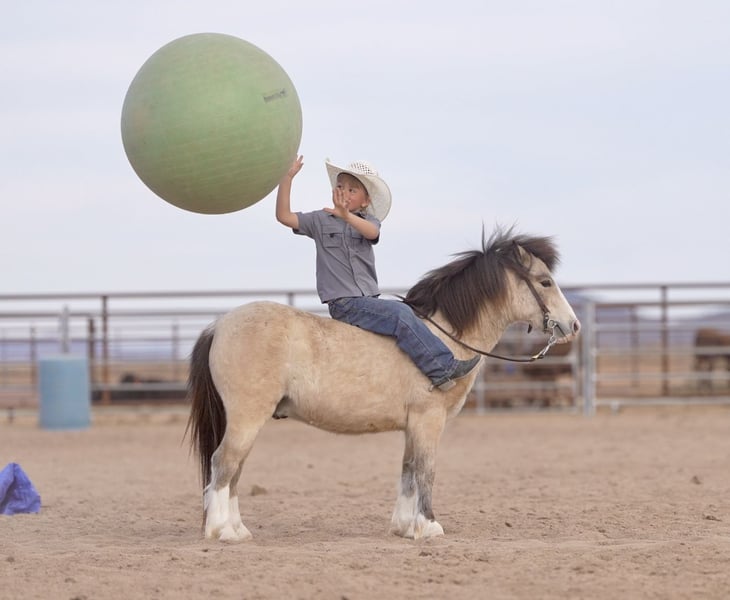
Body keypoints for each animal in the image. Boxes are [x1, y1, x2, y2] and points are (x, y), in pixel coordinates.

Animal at [186, 228, 581, 542]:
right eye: (545, 281)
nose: (573, 325)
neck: (443, 334)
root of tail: (218, 325)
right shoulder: (428, 421)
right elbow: (426, 471)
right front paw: (429, 527)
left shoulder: (412, 425)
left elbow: (407, 471)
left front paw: (405, 527)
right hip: (247, 418)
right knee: (223, 464)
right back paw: (222, 531)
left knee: (234, 471)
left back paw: (238, 529)